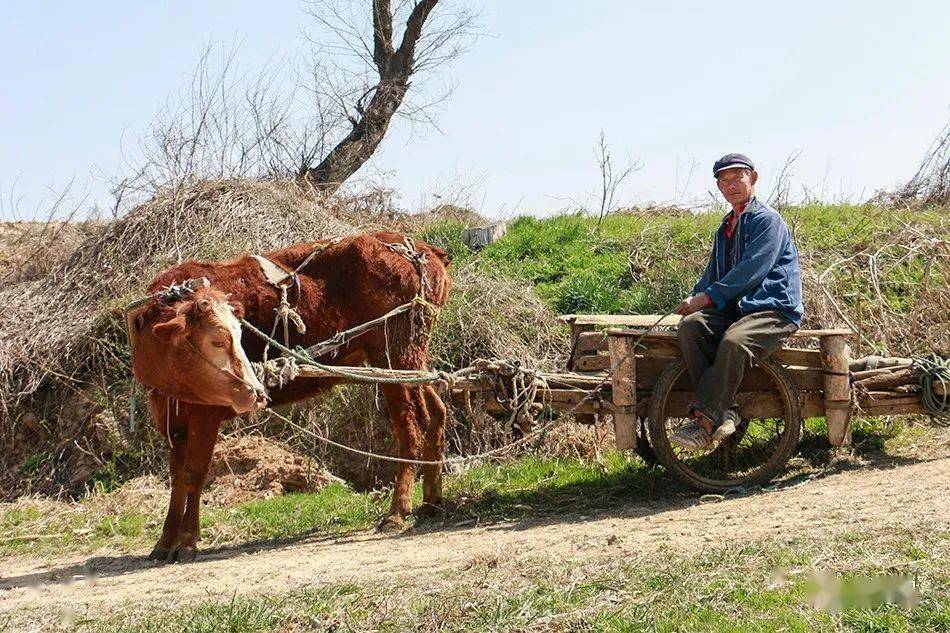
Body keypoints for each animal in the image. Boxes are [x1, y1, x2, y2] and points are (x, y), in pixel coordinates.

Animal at [130, 230, 454, 560]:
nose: (253, 391)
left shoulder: (204, 414)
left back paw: (398, 511)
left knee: (411, 427)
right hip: (411, 361)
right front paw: (164, 541)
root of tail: (418, 247)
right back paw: (431, 500)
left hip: (393, 356)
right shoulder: (172, 419)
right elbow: (176, 479)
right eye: (217, 341)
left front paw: (187, 541)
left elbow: (194, 474)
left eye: (235, 335)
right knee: (437, 410)